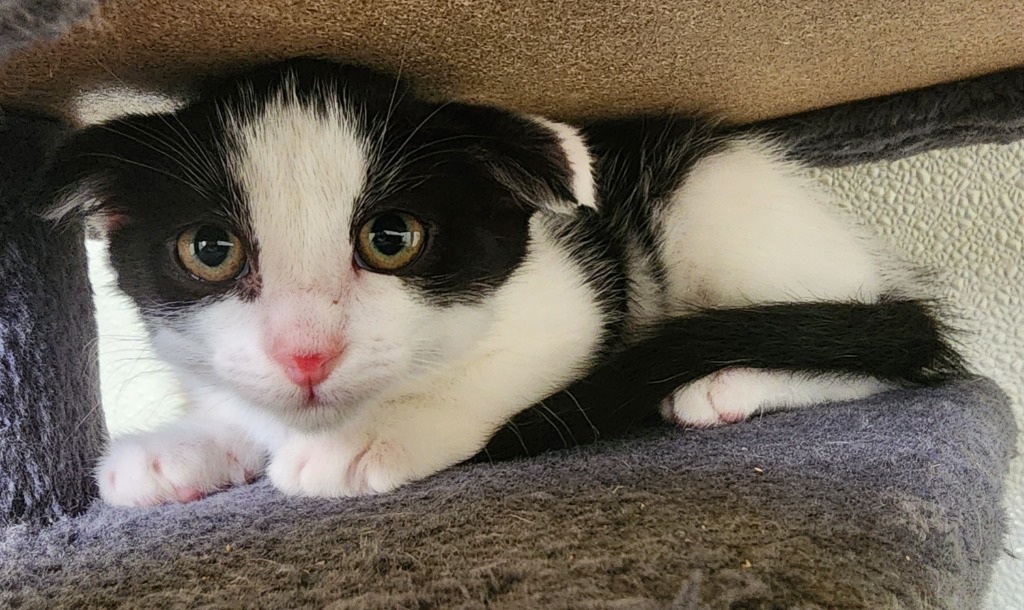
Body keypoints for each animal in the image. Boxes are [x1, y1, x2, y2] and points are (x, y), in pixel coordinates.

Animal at [44, 58, 962, 505]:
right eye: (210, 249)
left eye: (392, 239)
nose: (306, 354)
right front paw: (179, 448)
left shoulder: (573, 301)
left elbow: (489, 371)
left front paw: (372, 437)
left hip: (713, 204)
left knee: (896, 348)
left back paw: (728, 383)